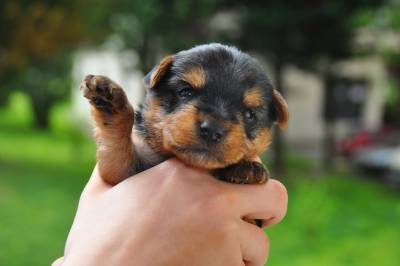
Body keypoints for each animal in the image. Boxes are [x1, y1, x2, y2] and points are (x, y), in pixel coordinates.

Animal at [80, 42, 288, 189]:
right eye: (186, 92)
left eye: (249, 115)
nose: (212, 129)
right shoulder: (123, 172)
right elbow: (119, 146)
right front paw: (108, 97)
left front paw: (247, 168)